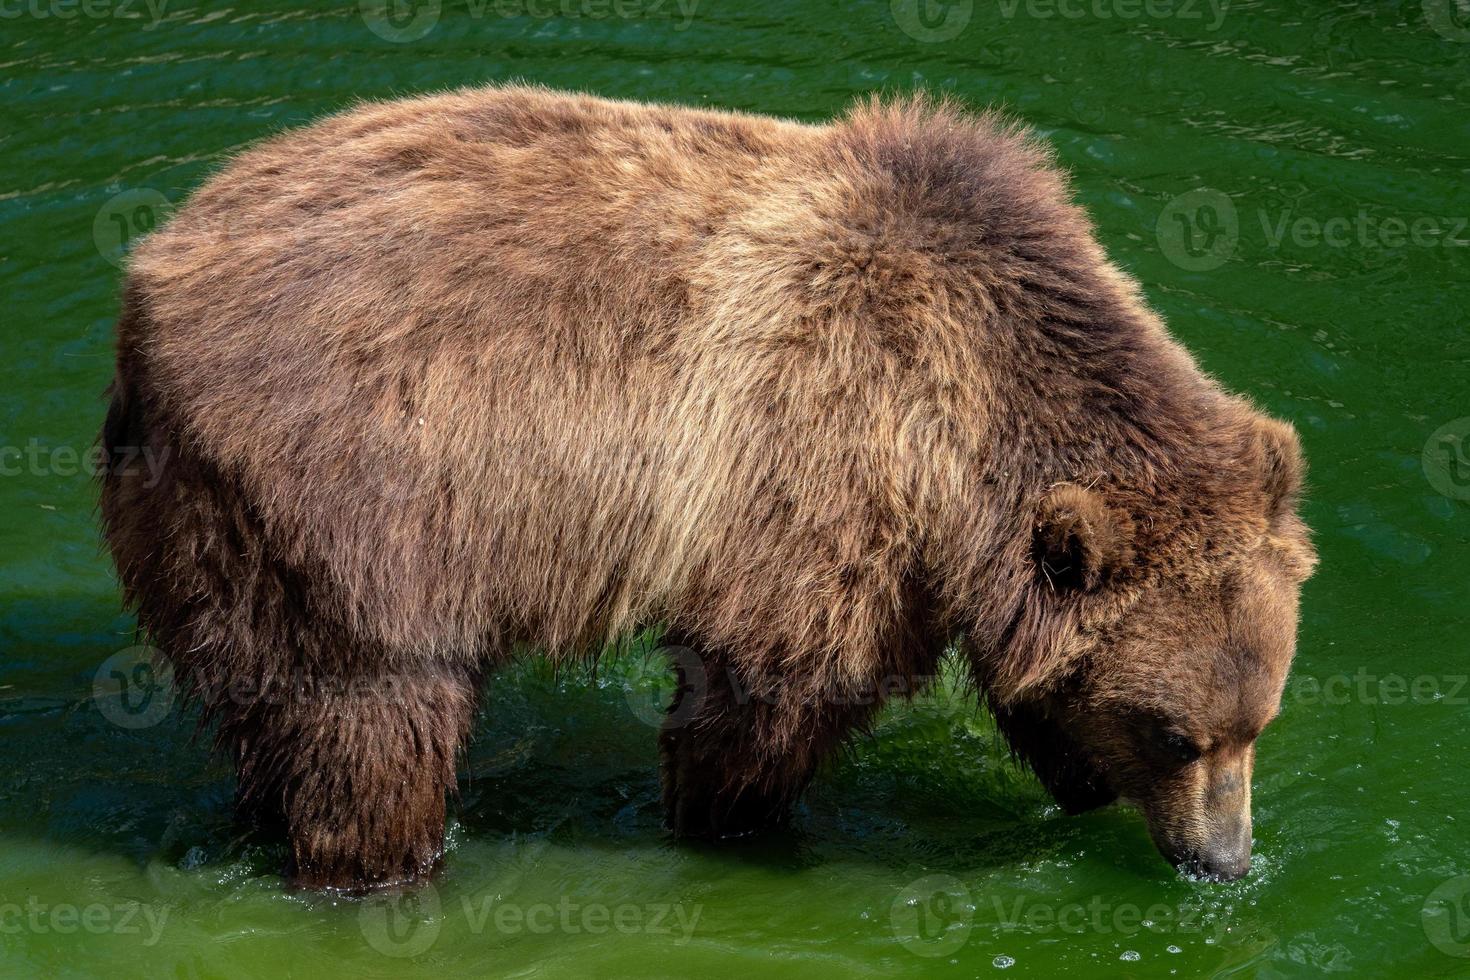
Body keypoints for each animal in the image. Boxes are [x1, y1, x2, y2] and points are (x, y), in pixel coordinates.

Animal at [103, 84, 1323, 893]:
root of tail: (150, 284)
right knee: (371, 720)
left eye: (1256, 720)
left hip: (211, 534)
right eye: (1179, 735)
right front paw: (735, 818)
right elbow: (766, 687)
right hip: (350, 502)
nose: (1225, 858)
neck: (972, 412)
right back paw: (381, 867)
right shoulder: (823, 462)